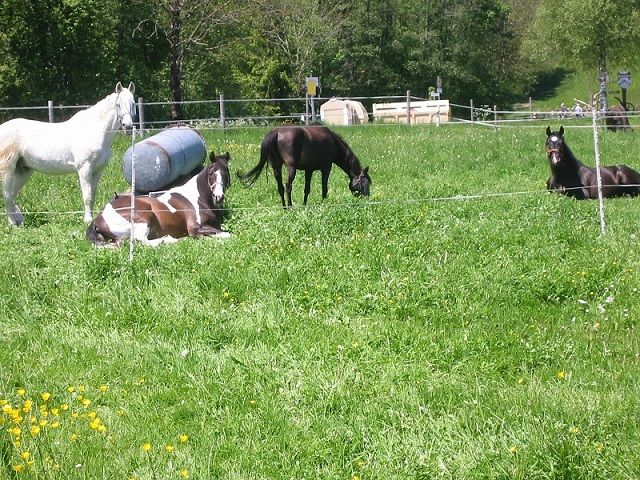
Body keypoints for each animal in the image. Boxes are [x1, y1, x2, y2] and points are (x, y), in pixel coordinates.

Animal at [0, 81, 136, 226]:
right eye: (118, 104)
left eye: (133, 103)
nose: (128, 127)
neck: (95, 131)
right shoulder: (84, 168)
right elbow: (87, 196)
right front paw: (87, 220)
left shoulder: (97, 171)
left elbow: (93, 195)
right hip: (9, 169)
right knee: (7, 195)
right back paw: (12, 224)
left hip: (23, 170)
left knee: (12, 195)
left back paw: (19, 221)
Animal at [85, 151, 232, 248]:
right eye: (212, 173)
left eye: (226, 172)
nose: (218, 197)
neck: (197, 198)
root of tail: (97, 219)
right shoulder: (195, 227)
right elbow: (227, 234)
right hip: (144, 216)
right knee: (141, 241)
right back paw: (170, 240)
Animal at [239, 124, 370, 207]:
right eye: (364, 183)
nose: (367, 199)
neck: (333, 142)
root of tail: (275, 132)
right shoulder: (326, 167)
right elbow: (324, 187)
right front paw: (324, 203)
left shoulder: (309, 170)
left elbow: (307, 189)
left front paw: (304, 204)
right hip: (291, 168)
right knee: (288, 186)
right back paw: (290, 206)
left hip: (276, 167)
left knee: (280, 187)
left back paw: (284, 207)